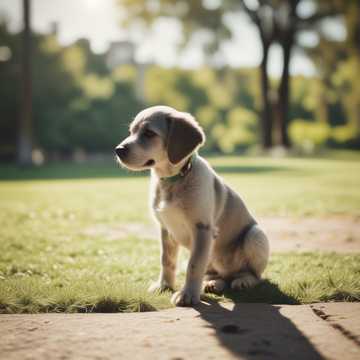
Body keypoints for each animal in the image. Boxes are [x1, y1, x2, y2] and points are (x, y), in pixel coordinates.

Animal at [115, 105, 270, 306]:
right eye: (131, 132)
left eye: (149, 133)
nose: (118, 150)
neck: (172, 180)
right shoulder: (166, 229)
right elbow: (166, 260)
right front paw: (164, 285)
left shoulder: (201, 228)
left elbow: (194, 265)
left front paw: (187, 294)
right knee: (217, 274)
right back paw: (212, 283)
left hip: (255, 235)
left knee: (254, 274)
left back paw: (243, 280)